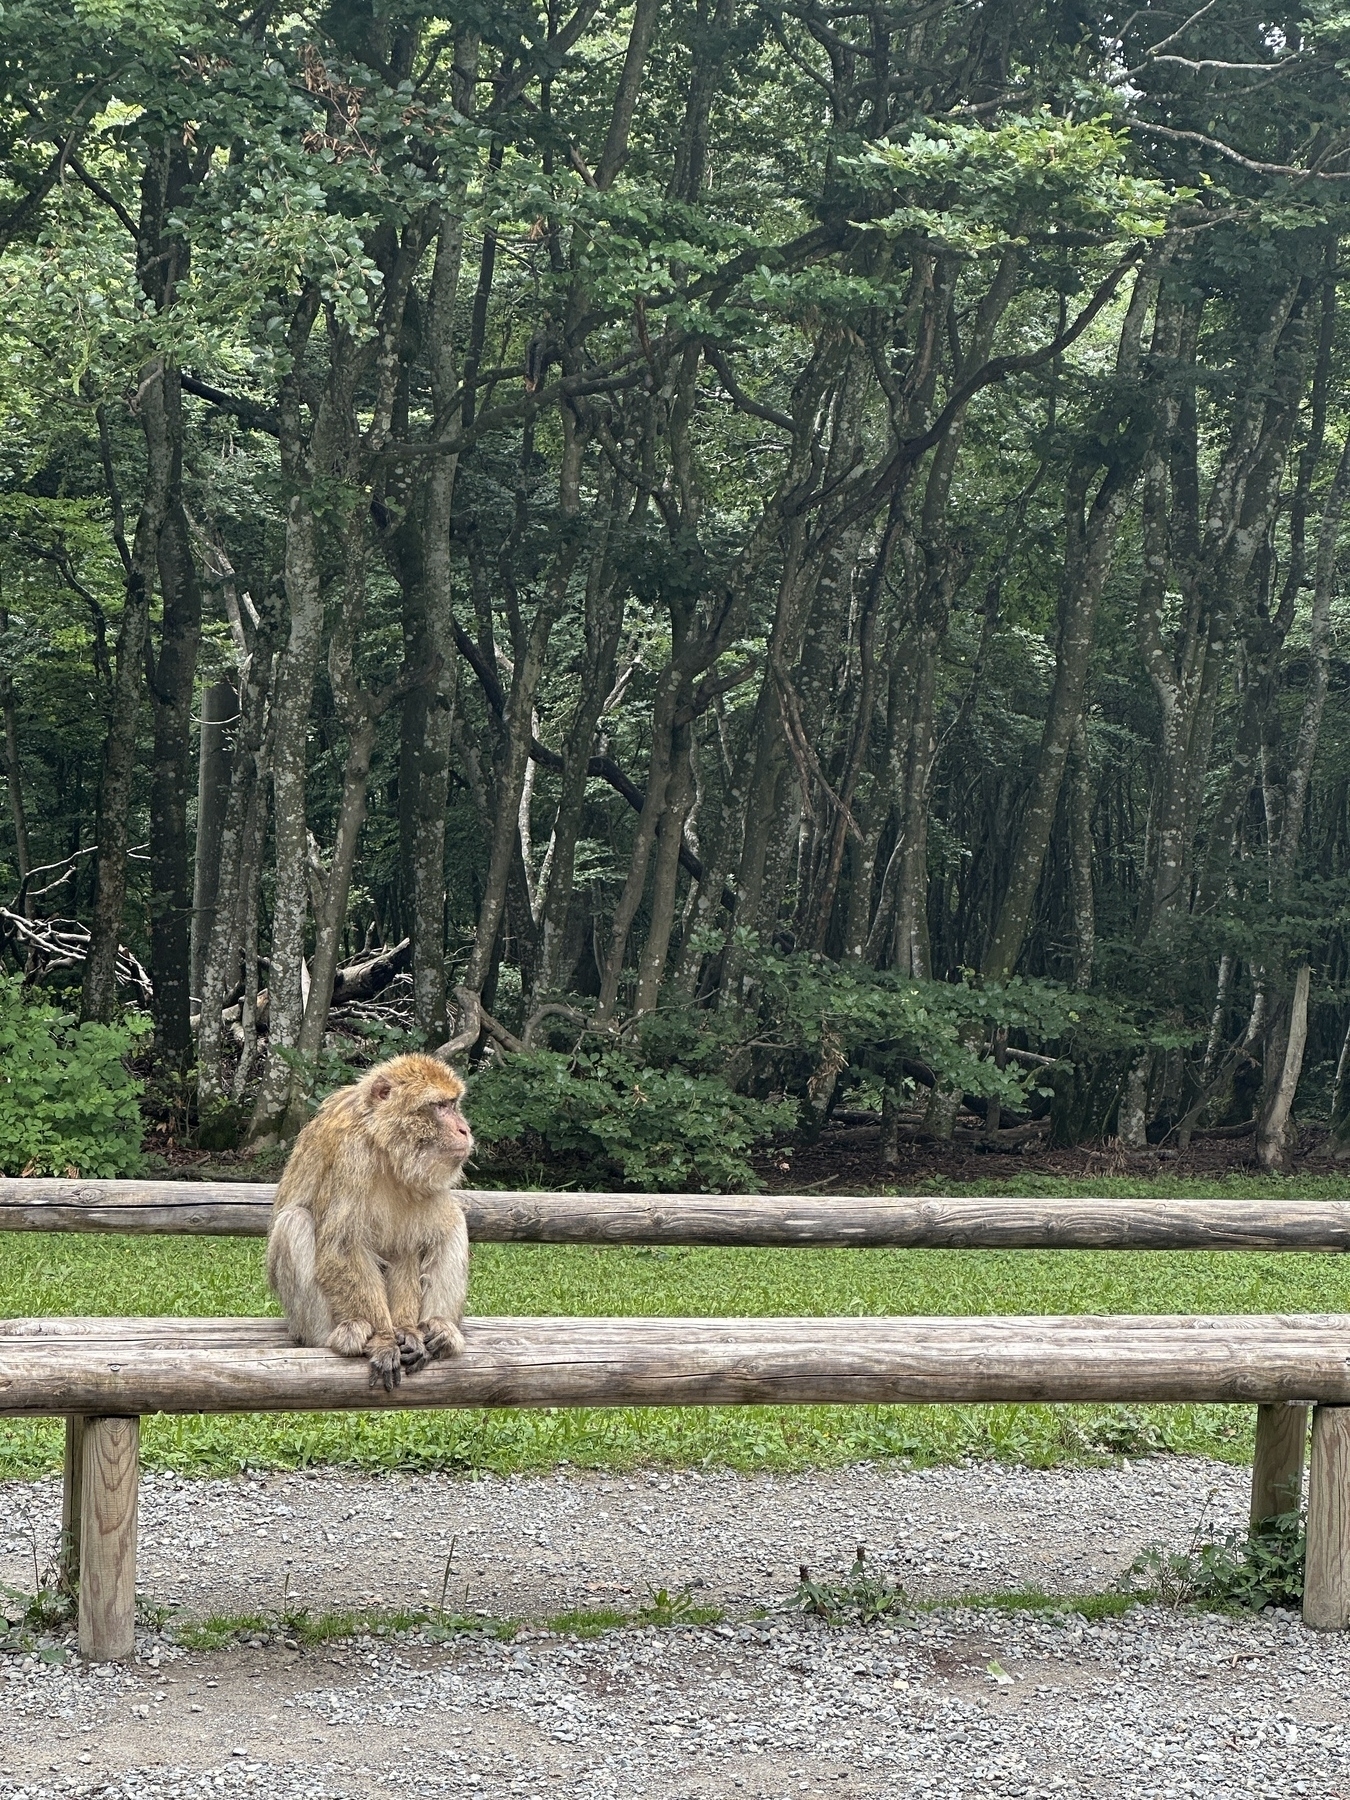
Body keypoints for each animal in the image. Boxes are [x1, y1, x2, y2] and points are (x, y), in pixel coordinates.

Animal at [266, 1051, 475, 1389]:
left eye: (454, 1104)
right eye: (440, 1106)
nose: (464, 1130)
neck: (383, 1142)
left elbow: (404, 1248)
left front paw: (406, 1331)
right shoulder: (352, 1155)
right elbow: (343, 1247)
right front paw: (383, 1339)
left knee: (452, 1219)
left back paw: (441, 1331)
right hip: (303, 1325)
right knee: (294, 1220)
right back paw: (346, 1334)